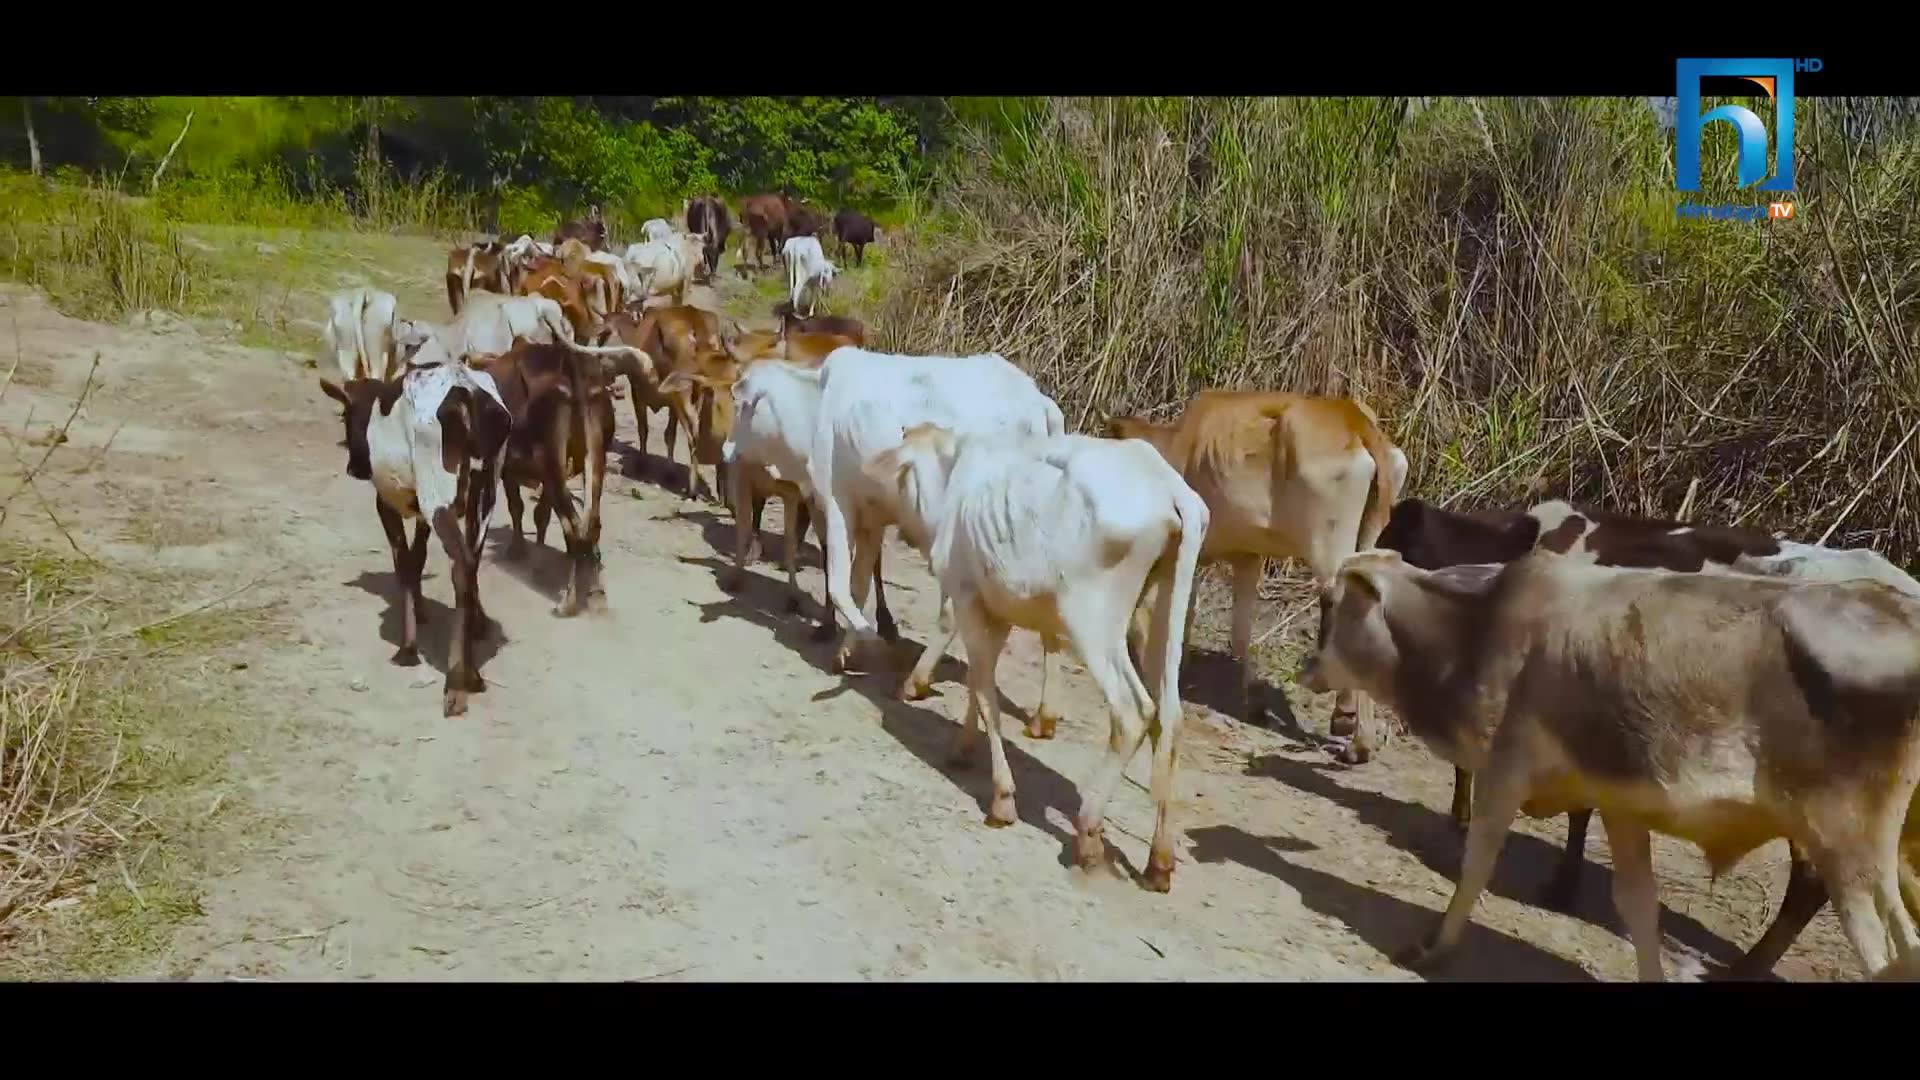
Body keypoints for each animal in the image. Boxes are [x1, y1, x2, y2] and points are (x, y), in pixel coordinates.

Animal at [316, 359, 510, 714]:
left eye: (345, 414)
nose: (354, 468)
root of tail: (468, 392)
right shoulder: (421, 510)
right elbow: (417, 558)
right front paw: (420, 613)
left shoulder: (387, 503)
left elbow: (404, 564)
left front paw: (407, 648)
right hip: (485, 492)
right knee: (472, 562)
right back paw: (472, 672)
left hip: (439, 495)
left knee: (461, 565)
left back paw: (456, 683)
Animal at [864, 424, 1205, 887]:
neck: (955, 480)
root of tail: (1169, 487)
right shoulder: (998, 607)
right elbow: (978, 679)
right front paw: (962, 748)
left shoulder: (967, 596)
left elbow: (985, 691)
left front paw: (1002, 799)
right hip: (1161, 615)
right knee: (1170, 719)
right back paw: (1159, 861)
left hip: (1092, 620)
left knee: (1133, 712)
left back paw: (1089, 833)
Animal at [1105, 386, 1405, 757]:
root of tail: (1355, 420)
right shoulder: (1248, 557)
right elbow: (1240, 631)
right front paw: (1252, 701)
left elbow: (1174, 616)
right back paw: (1348, 723)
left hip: (1329, 549)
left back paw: (1357, 737)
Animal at [1297, 549, 1920, 980]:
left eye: (1328, 603)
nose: (1306, 667)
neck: (1474, 632)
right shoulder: (1619, 802)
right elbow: (1639, 907)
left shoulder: (1505, 769)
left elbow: (1476, 865)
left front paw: (1434, 949)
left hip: (1850, 850)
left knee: (1888, 953)